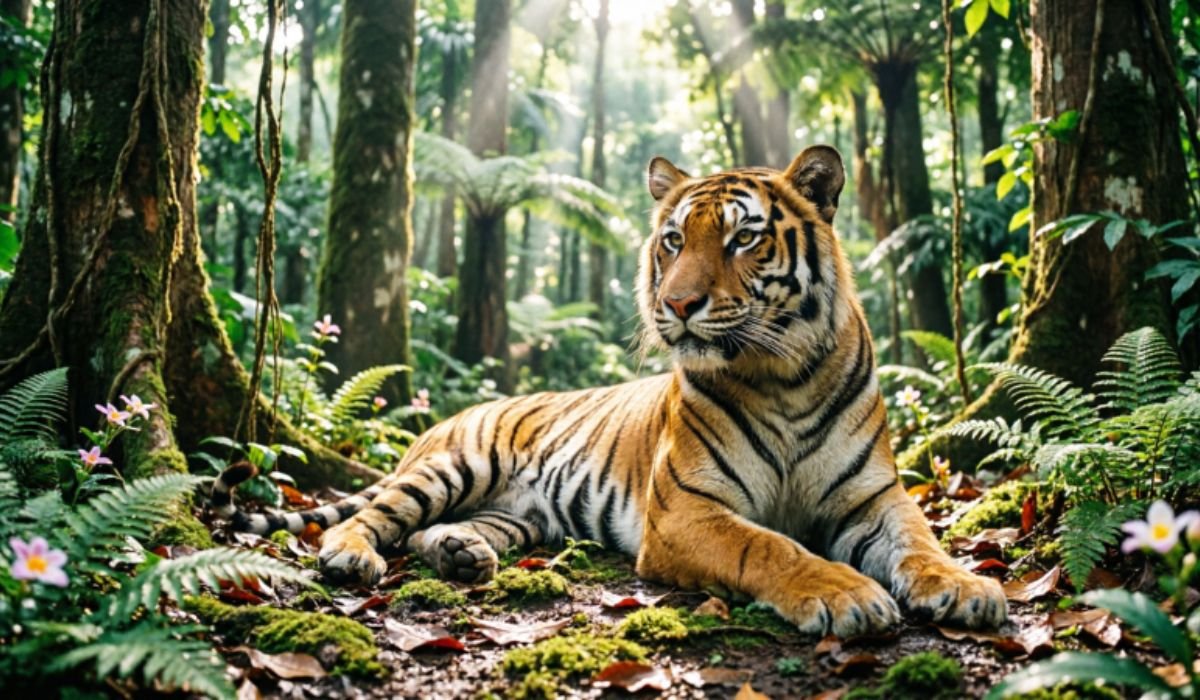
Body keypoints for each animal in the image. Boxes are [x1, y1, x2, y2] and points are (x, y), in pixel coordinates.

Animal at [212, 145, 1007, 635]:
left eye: (743, 239)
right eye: (673, 241)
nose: (678, 304)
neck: (783, 376)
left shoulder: (874, 498)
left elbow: (921, 541)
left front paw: (965, 586)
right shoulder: (688, 512)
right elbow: (772, 548)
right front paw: (845, 593)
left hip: (522, 516)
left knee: (436, 530)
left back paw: (462, 555)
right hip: (452, 466)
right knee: (373, 518)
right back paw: (352, 555)